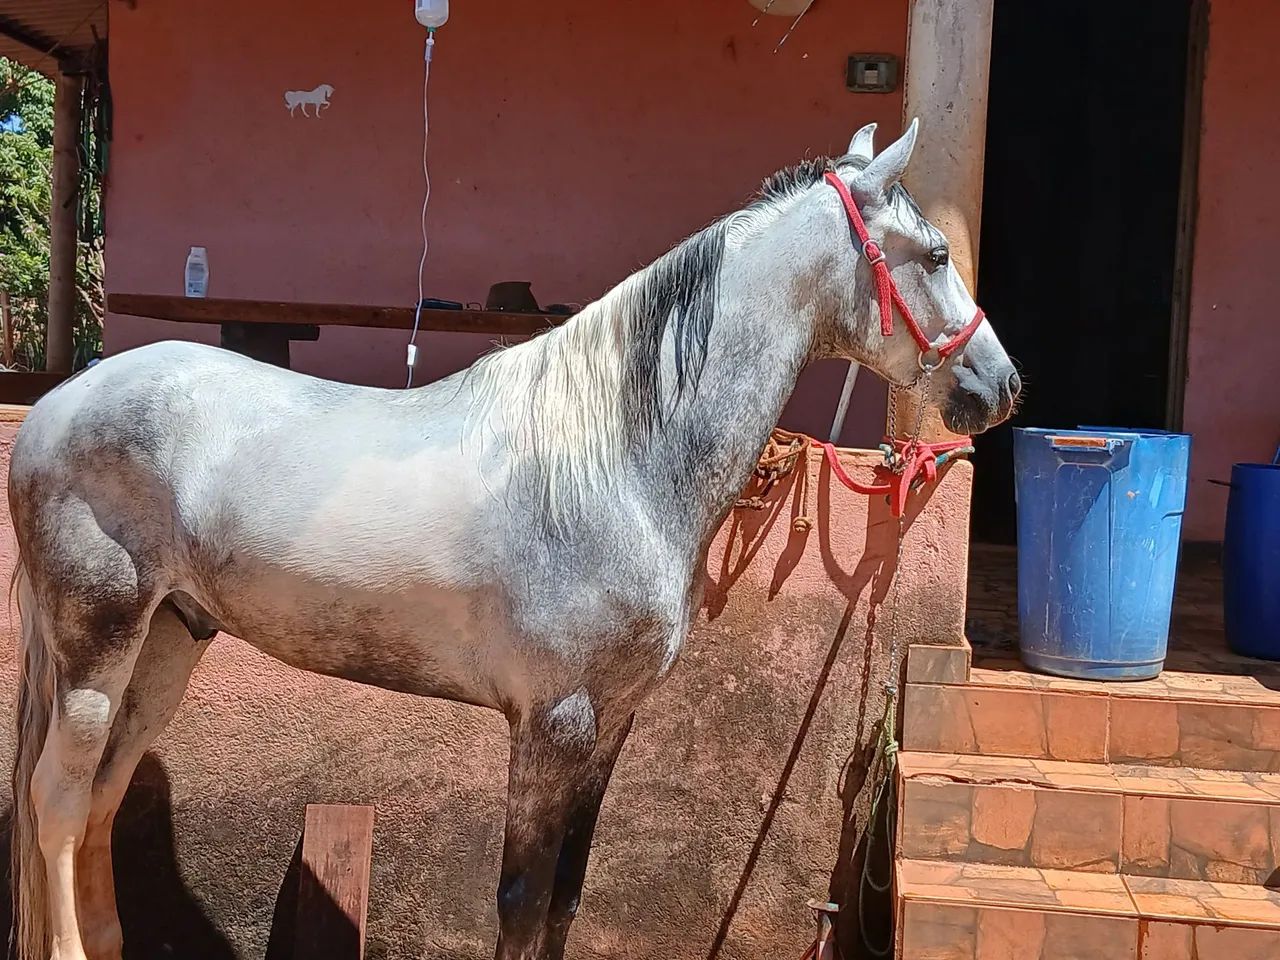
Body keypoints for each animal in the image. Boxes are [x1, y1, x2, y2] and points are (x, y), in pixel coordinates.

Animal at [9, 119, 1018, 960]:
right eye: (936, 253)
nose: (1001, 386)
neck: (611, 461)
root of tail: (59, 403)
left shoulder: (609, 727)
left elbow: (565, 900)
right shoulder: (552, 726)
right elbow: (522, 901)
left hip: (167, 644)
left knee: (100, 801)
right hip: (98, 644)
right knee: (56, 803)